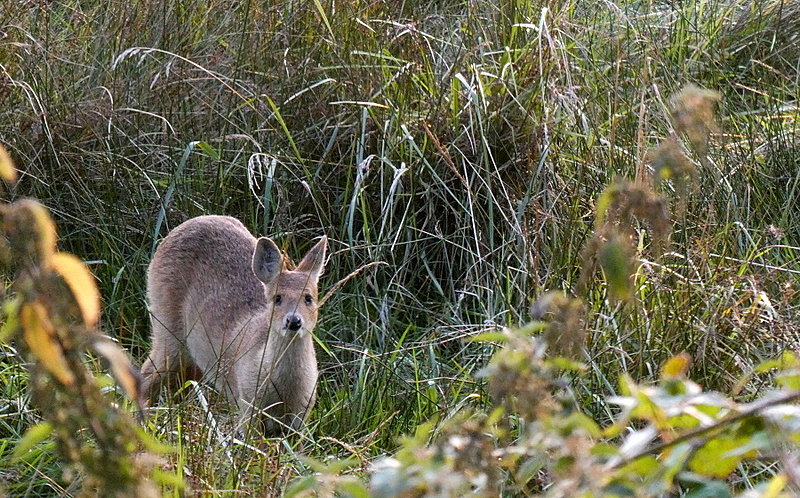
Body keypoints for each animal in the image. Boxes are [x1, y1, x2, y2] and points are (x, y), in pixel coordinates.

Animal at [139, 215, 326, 436]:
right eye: (277, 298)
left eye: (309, 298)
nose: (293, 321)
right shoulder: (247, 405)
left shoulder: (301, 416)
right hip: (167, 326)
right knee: (146, 374)